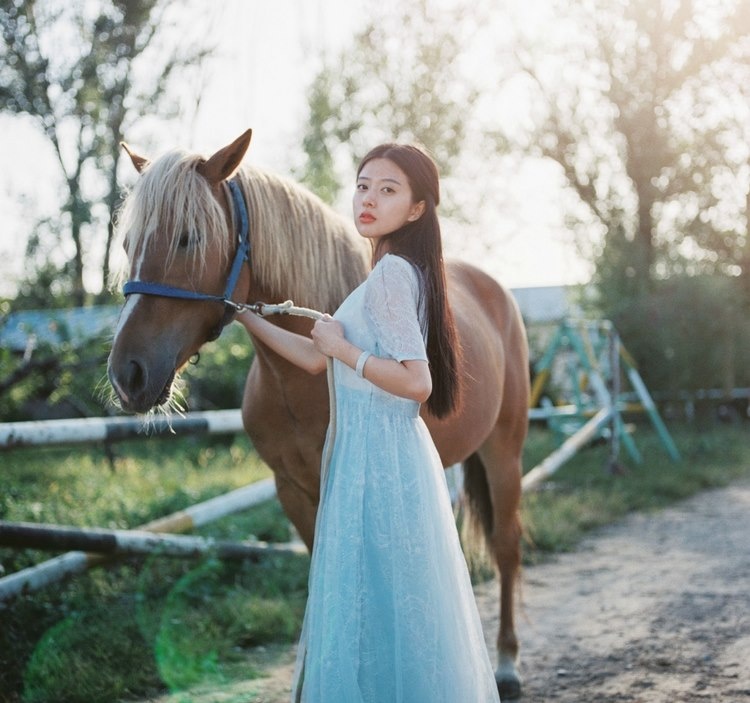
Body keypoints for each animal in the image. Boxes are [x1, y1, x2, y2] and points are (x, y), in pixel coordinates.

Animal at [107, 131, 528, 700]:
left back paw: (505, 663)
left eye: (188, 238)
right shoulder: (293, 489)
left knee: (506, 546)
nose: (127, 374)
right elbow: (316, 584)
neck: (295, 380)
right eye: (128, 245)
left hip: (505, 450)